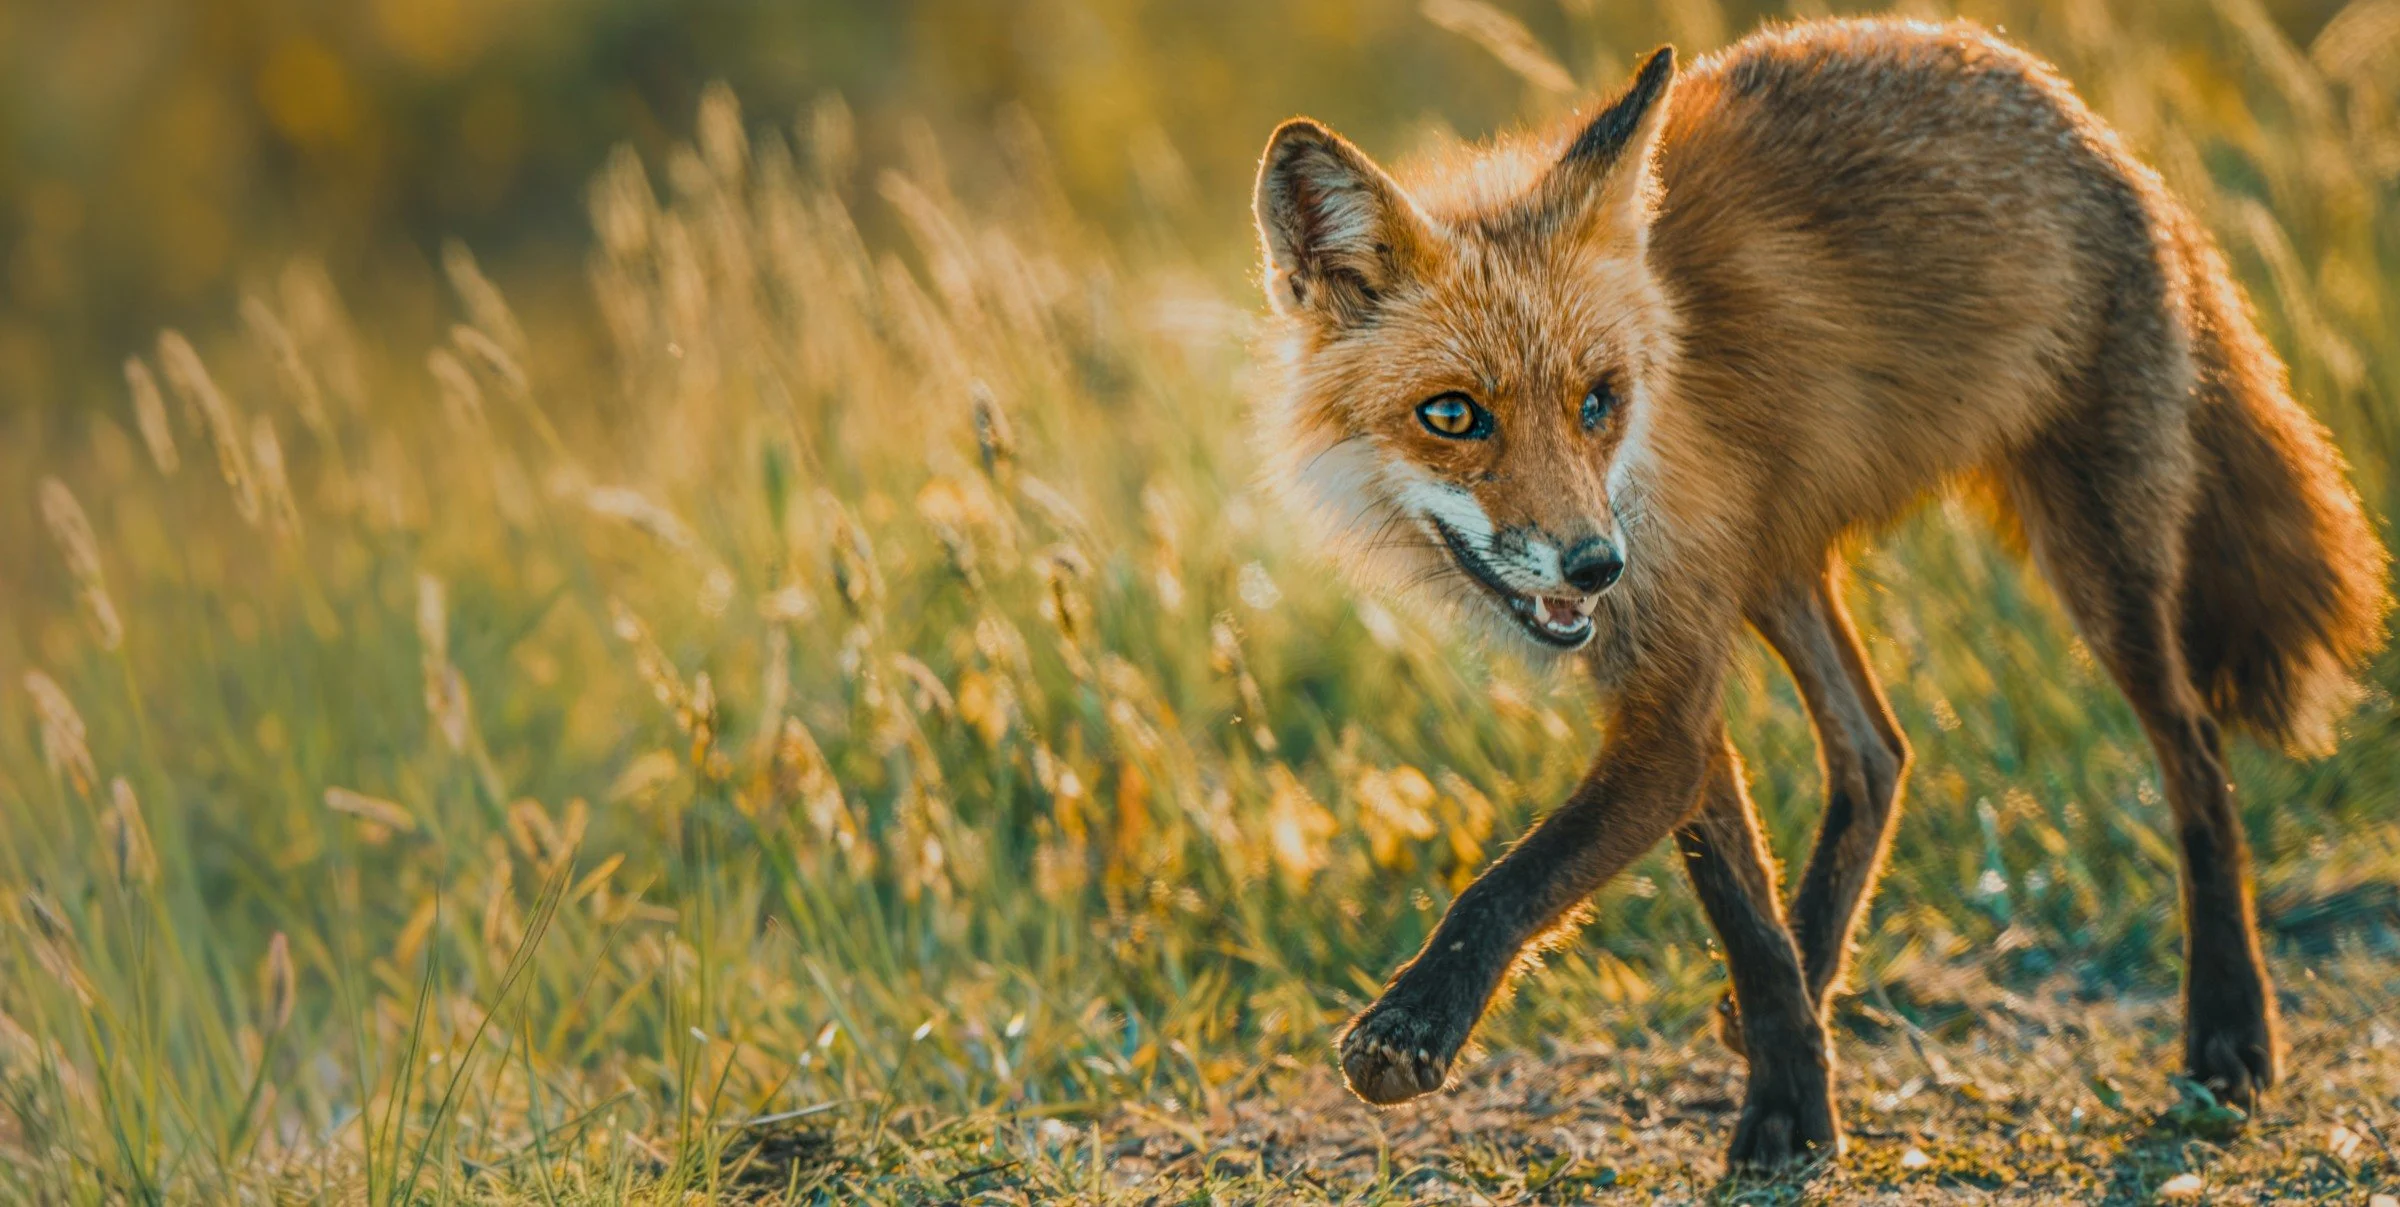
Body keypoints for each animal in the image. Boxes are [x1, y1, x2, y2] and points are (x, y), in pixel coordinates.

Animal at [1250, 16, 2389, 1169]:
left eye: (1597, 402)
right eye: (1452, 414)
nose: (1595, 564)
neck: (1649, 454)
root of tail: (2087, 123)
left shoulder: (1669, 680)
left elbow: (1513, 881)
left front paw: (1417, 1022)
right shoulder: (1667, 670)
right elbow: (1740, 907)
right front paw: (1792, 1085)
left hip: (2097, 558)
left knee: (2195, 754)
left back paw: (2229, 1030)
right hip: (1779, 570)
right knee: (1878, 749)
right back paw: (1818, 962)